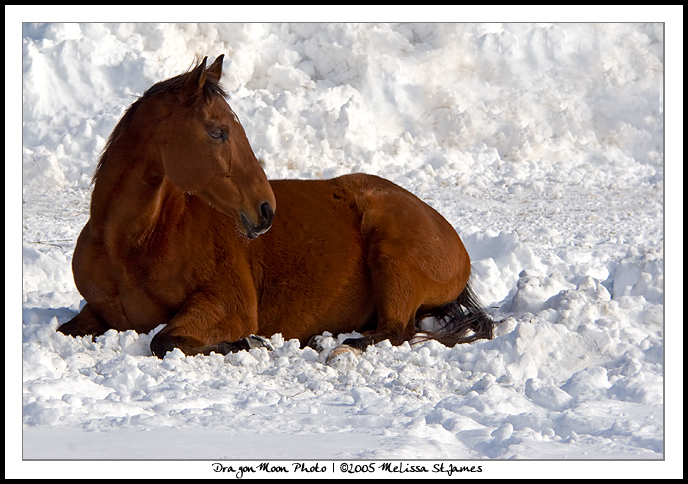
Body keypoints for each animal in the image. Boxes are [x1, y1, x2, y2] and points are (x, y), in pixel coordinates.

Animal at [56, 56, 492, 360]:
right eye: (218, 132)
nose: (266, 210)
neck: (132, 246)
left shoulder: (227, 305)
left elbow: (164, 340)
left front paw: (247, 343)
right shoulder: (96, 313)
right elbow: (65, 330)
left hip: (393, 262)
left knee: (395, 331)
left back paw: (337, 346)